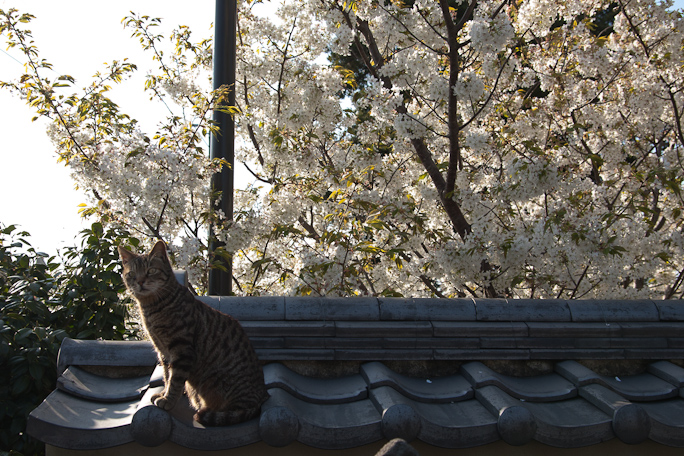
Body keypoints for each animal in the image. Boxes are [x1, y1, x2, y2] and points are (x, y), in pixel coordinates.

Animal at [117, 240, 268, 426]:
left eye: (151, 271)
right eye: (131, 274)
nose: (139, 281)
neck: (152, 307)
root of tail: (261, 397)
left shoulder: (181, 349)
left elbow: (175, 380)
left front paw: (167, 400)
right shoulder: (163, 352)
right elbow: (167, 376)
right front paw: (163, 394)